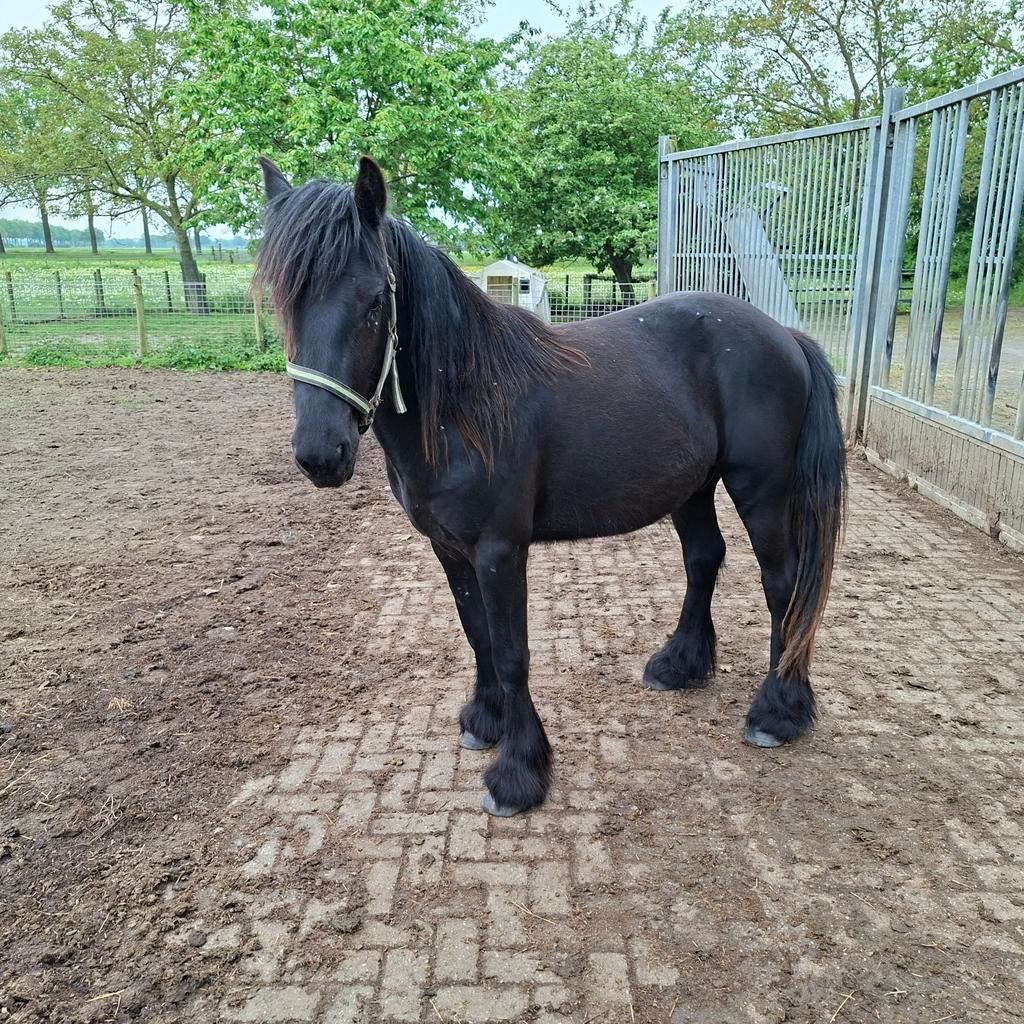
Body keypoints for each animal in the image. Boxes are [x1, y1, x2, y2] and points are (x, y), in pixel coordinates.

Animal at [256, 156, 846, 817]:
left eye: (376, 300)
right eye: (284, 299)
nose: (320, 454)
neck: (466, 406)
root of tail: (784, 336)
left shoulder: (499, 550)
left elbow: (513, 652)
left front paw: (518, 772)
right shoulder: (448, 548)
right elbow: (478, 635)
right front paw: (484, 722)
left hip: (761, 491)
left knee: (783, 584)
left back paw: (778, 711)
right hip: (692, 488)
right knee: (704, 558)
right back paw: (679, 665)